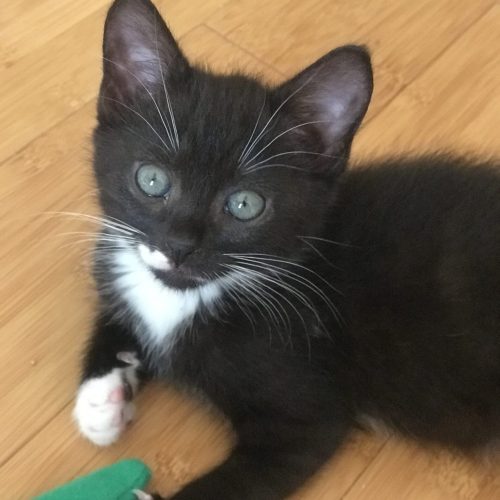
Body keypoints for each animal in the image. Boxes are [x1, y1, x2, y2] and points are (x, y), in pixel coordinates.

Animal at [72, 0, 500, 500]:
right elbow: (115, 316)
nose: (179, 246)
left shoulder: (306, 415)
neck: (186, 296)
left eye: (245, 205)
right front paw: (102, 398)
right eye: (152, 180)